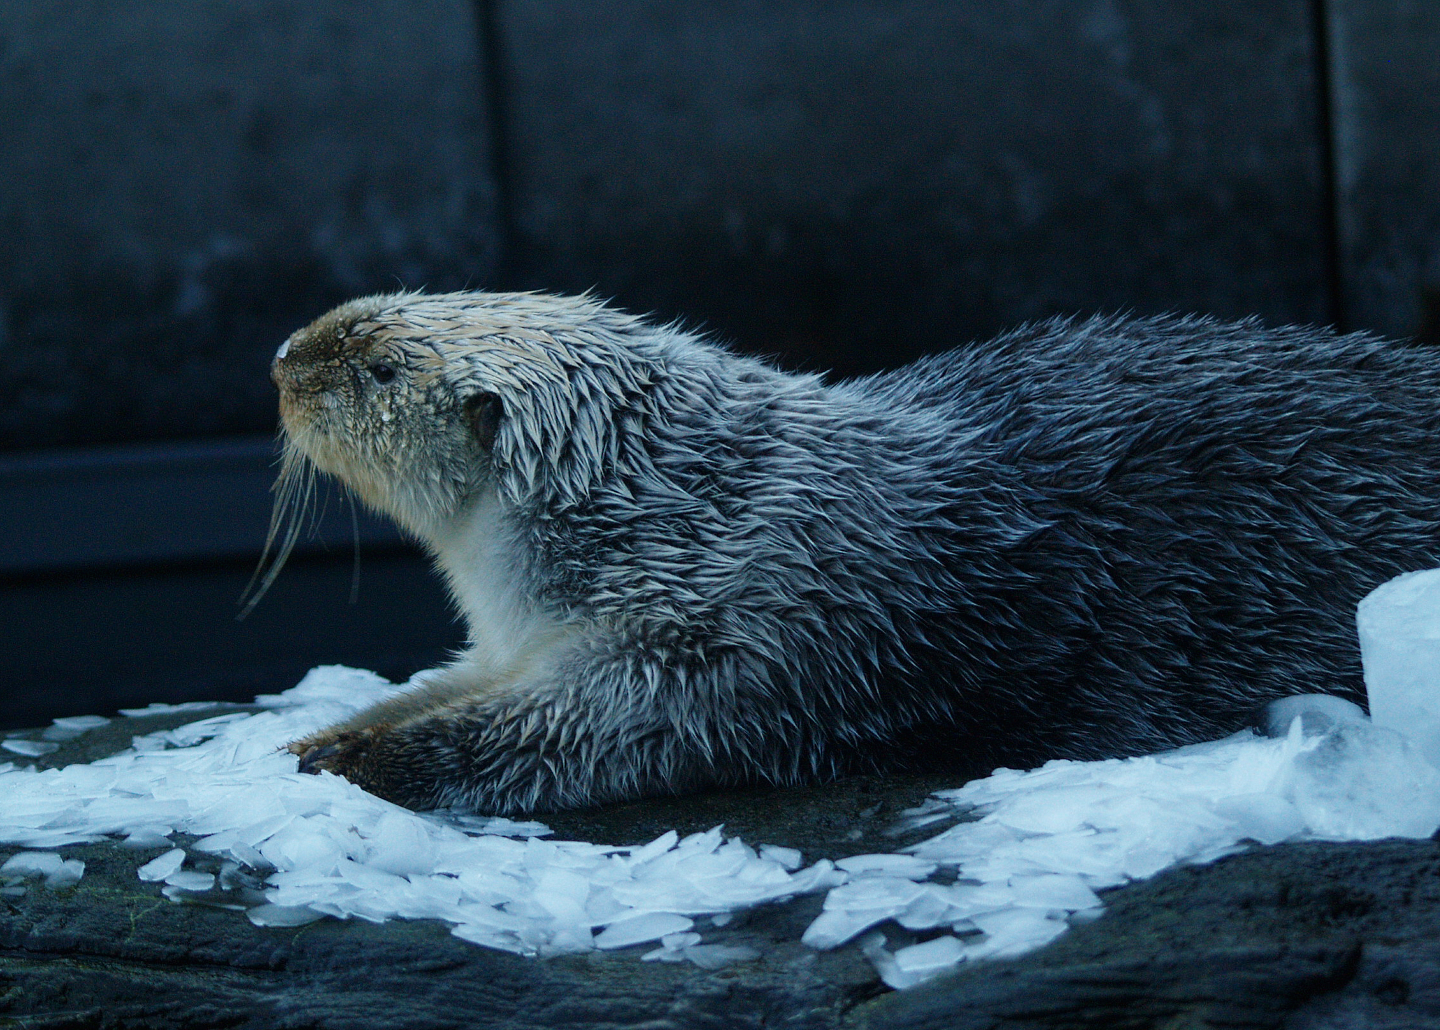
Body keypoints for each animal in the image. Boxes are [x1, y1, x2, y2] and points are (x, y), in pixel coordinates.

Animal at [263, 290, 1440, 814]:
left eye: (380, 367)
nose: (282, 355)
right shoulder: (520, 641)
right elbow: (455, 683)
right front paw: (317, 734)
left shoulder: (751, 638)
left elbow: (583, 732)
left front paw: (358, 761)